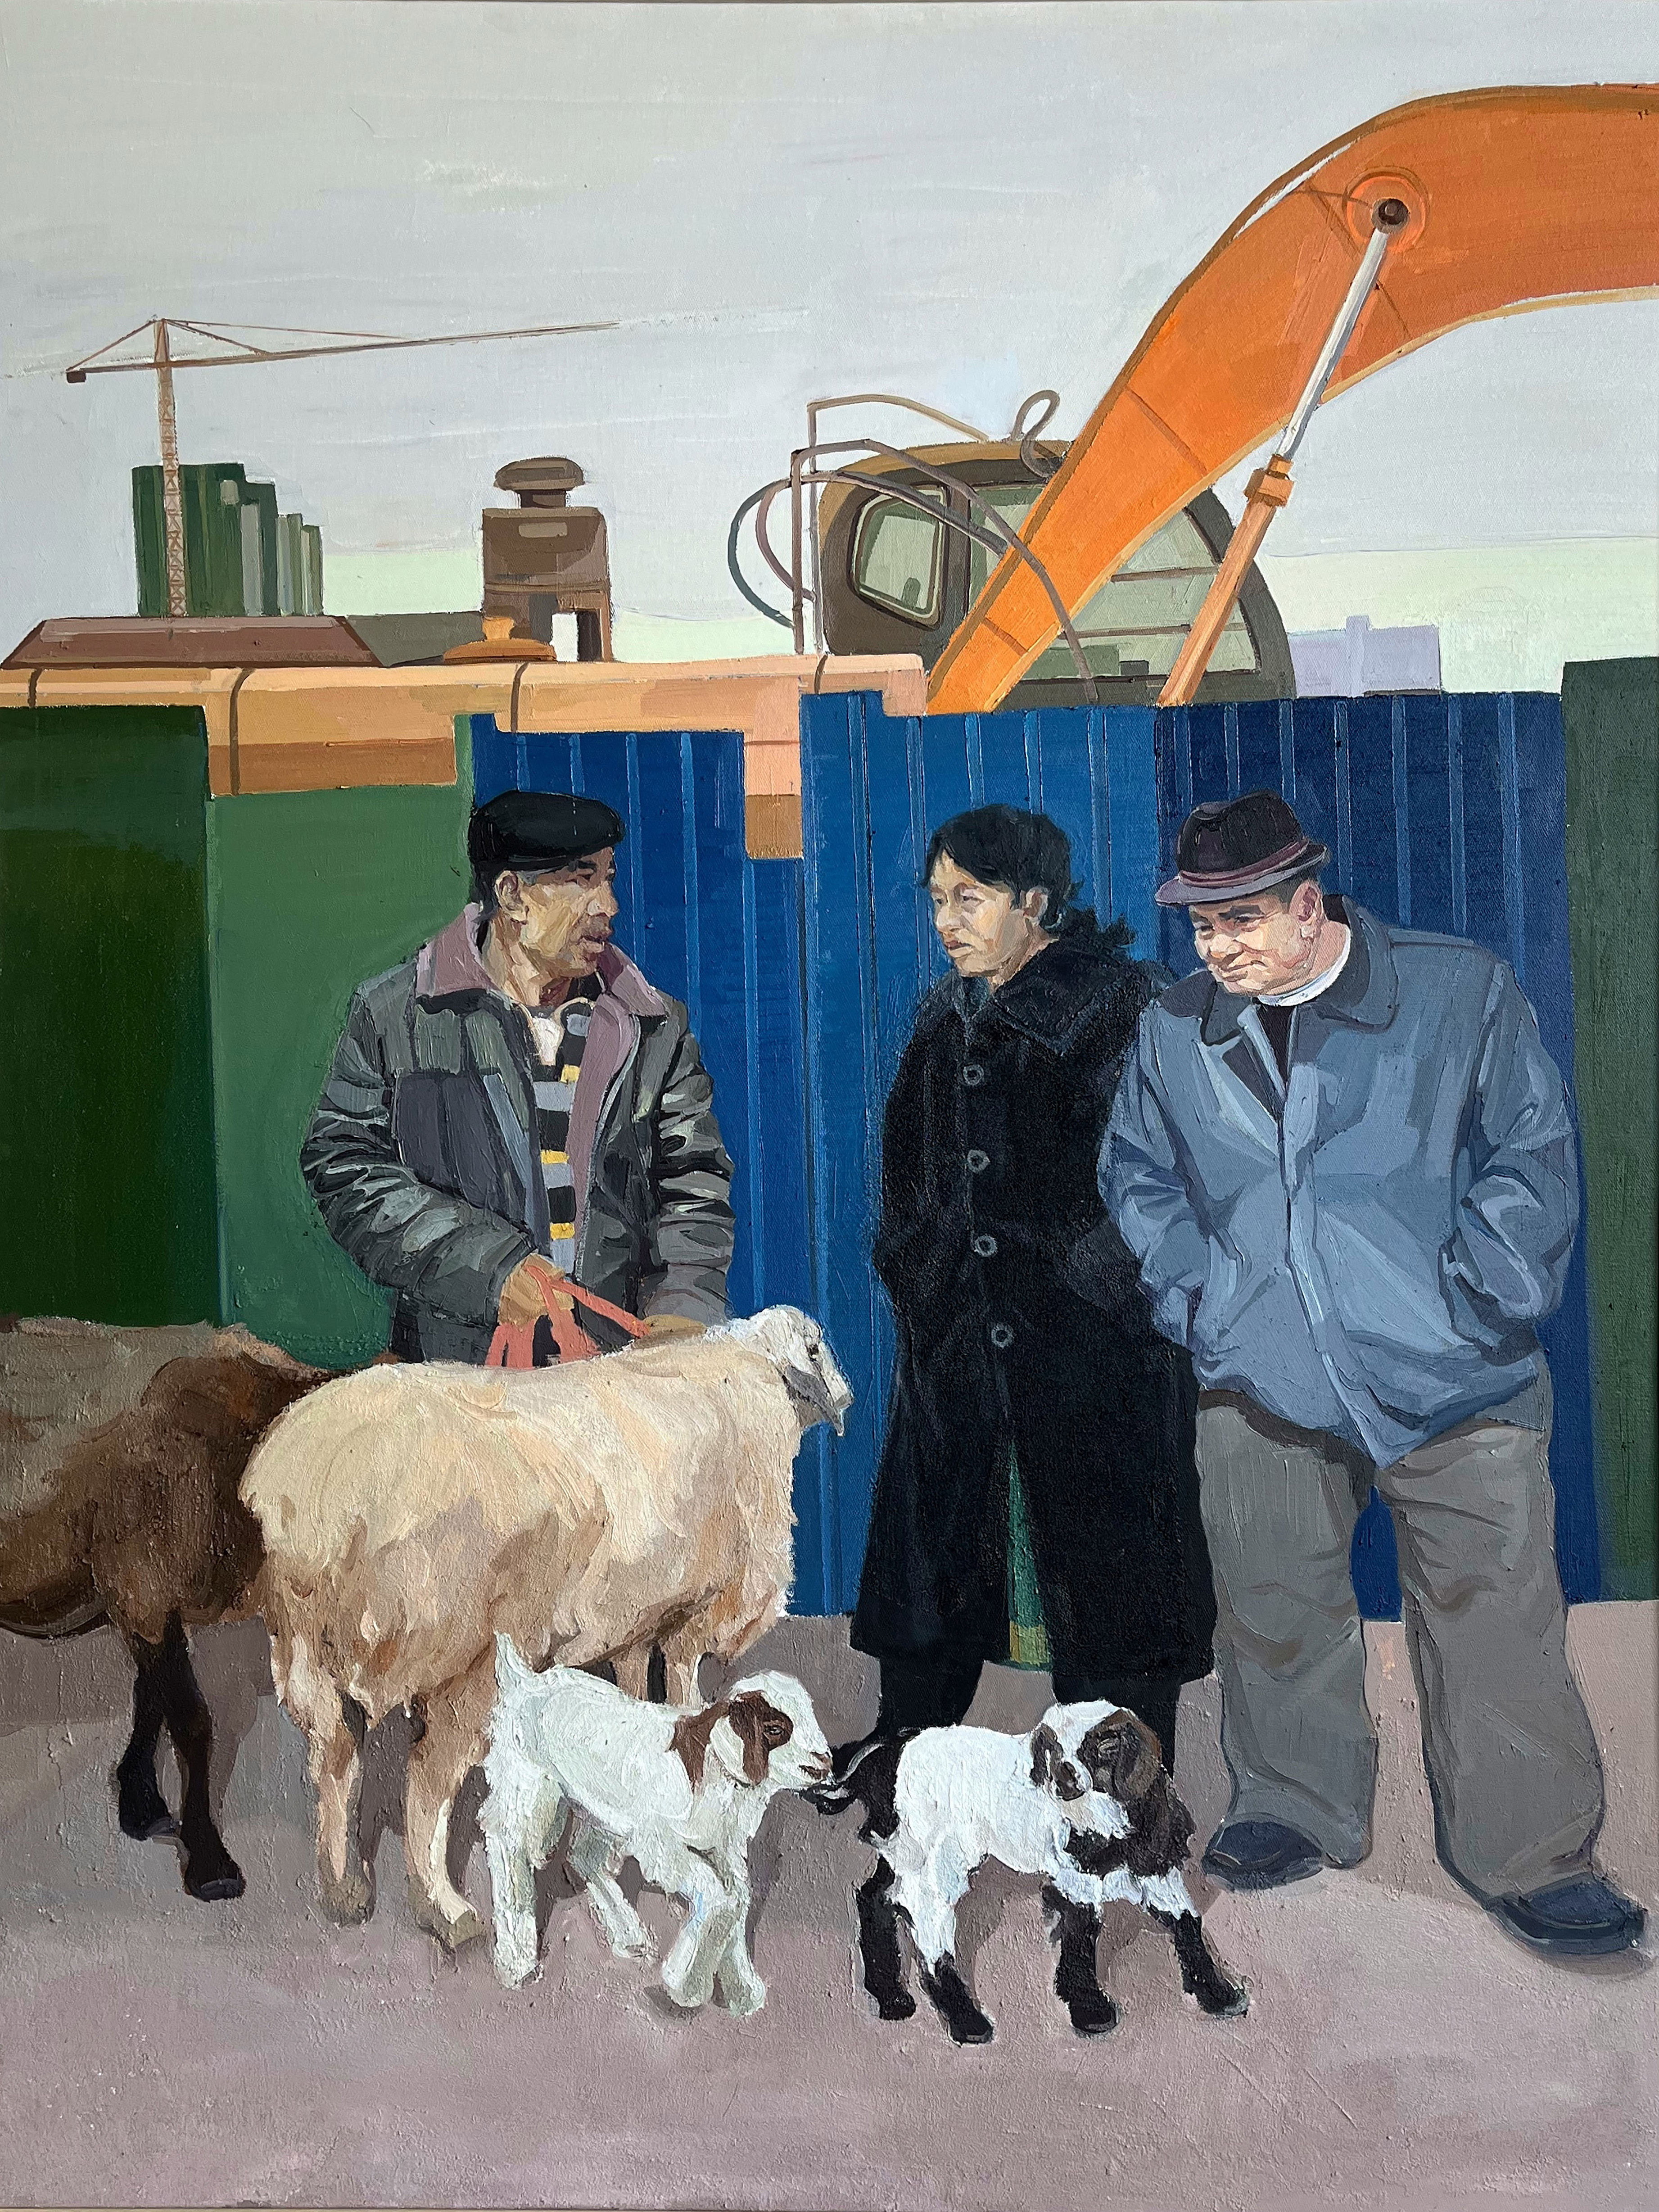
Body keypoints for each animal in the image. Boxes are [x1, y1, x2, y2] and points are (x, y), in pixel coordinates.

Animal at [1, 1315, 334, 1899]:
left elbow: (149, 1698)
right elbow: (193, 1722)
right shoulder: (142, 1587)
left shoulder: (146, 1604)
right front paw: (210, 1862)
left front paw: (140, 1803)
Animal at [241, 1305, 853, 1950]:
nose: (847, 1398)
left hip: (305, 1648)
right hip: (469, 1651)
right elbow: (685, 1693)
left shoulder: (637, 1617)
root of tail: (320, 1496)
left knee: (335, 1757)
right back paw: (444, 1908)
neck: (743, 1378)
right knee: (429, 1776)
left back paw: (345, 1889)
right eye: (817, 1348)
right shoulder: (692, 1610)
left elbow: (639, 1694)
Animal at [481, 1636, 832, 2013]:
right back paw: (517, 1962)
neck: (711, 1766)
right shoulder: (662, 1845)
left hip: (604, 1810)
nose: (825, 1762)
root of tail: (526, 1682)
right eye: (775, 1729)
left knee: (582, 1857)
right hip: (529, 1788)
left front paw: (742, 1990)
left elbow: (738, 1896)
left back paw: (628, 1934)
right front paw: (687, 1986)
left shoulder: (721, 1847)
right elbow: (720, 1895)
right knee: (506, 1844)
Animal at [811, 1701, 1248, 2044]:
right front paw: (1090, 2010)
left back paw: (890, 1997)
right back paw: (966, 2021)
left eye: (1105, 1744)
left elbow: (1187, 1923)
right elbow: (1080, 1934)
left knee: (874, 1896)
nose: (1063, 1777)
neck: (1110, 1827)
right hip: (937, 1861)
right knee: (928, 1928)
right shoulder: (1076, 1880)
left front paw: (1219, 1993)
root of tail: (888, 1750)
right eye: (1051, 1749)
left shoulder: (1157, 1874)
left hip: (909, 1854)